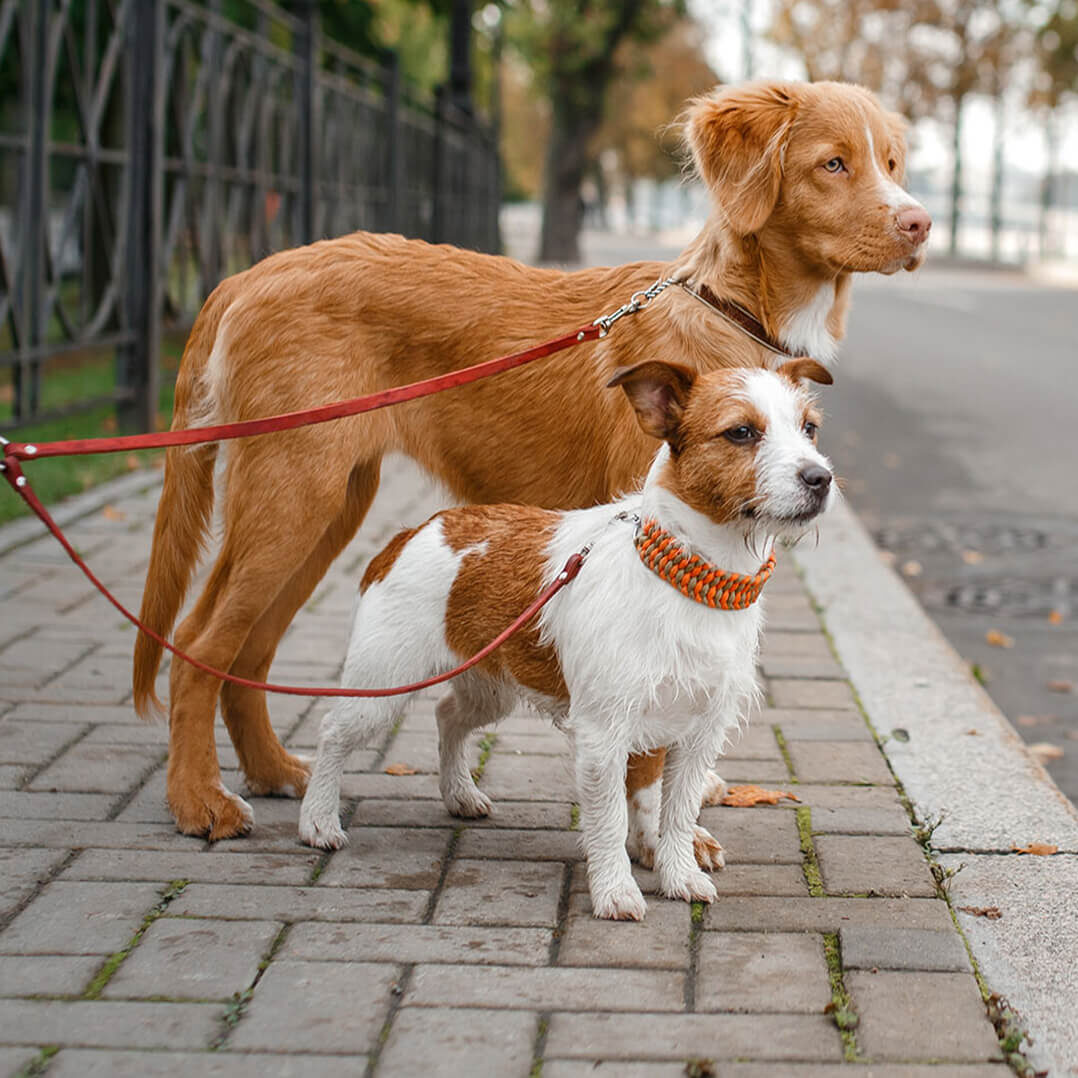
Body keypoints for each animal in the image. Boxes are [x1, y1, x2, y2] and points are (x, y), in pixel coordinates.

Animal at [132, 81, 927, 840]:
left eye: (892, 164)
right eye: (833, 163)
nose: (919, 223)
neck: (733, 310)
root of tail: (247, 275)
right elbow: (645, 743)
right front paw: (658, 836)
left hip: (329, 509)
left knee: (245, 652)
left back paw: (270, 770)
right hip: (292, 496)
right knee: (197, 644)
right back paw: (199, 800)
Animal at [299, 357, 836, 922]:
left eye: (809, 428)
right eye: (741, 432)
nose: (820, 477)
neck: (691, 580)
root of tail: (411, 532)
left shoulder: (698, 736)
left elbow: (676, 814)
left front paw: (679, 875)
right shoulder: (604, 734)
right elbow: (611, 819)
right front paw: (616, 890)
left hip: (490, 685)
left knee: (448, 716)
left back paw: (459, 793)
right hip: (381, 685)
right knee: (332, 734)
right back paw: (318, 820)